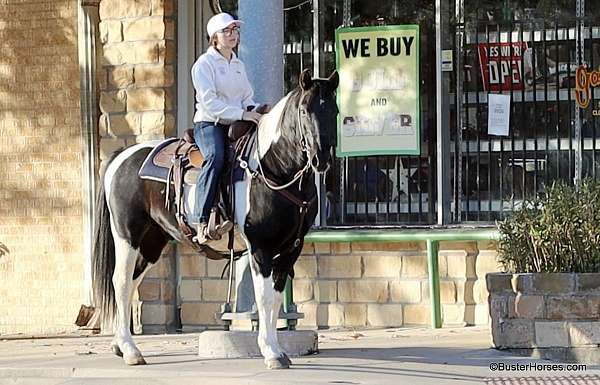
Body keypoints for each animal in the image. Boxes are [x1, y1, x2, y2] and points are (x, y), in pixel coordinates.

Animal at [92, 67, 340, 368]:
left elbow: (275, 297)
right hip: (128, 236)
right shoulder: (260, 248)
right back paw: (130, 350)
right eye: (304, 110)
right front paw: (271, 352)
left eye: (334, 110)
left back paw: (121, 344)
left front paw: (278, 350)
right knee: (121, 281)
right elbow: (264, 298)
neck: (273, 168)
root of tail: (122, 156)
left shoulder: (291, 248)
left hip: (152, 242)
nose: (321, 159)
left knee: (132, 283)